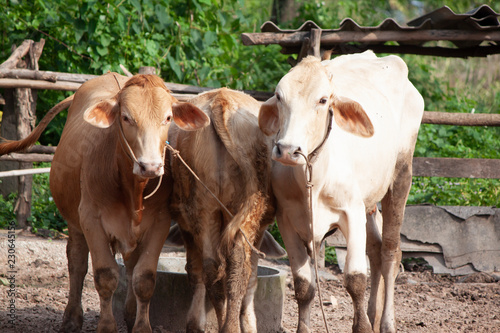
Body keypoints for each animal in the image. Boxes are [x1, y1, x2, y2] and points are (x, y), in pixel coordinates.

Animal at [0, 73, 209, 332]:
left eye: (168, 117)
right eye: (126, 117)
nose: (150, 166)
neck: (133, 189)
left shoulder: (160, 222)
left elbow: (144, 278)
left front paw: (140, 326)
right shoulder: (91, 219)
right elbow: (105, 276)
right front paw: (107, 326)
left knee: (129, 267)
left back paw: (129, 314)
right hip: (75, 221)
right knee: (77, 264)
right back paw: (71, 319)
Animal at [168, 88, 278, 332]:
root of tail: (221, 99)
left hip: (204, 207)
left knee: (212, 269)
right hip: (244, 213)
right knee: (238, 269)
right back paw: (231, 326)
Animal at [258, 50, 426, 332]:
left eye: (323, 100)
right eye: (279, 96)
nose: (288, 150)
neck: (313, 179)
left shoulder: (351, 213)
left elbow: (355, 280)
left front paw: (363, 326)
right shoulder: (287, 221)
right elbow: (303, 287)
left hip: (401, 176)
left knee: (390, 253)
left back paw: (386, 323)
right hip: (368, 202)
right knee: (376, 251)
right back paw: (373, 314)